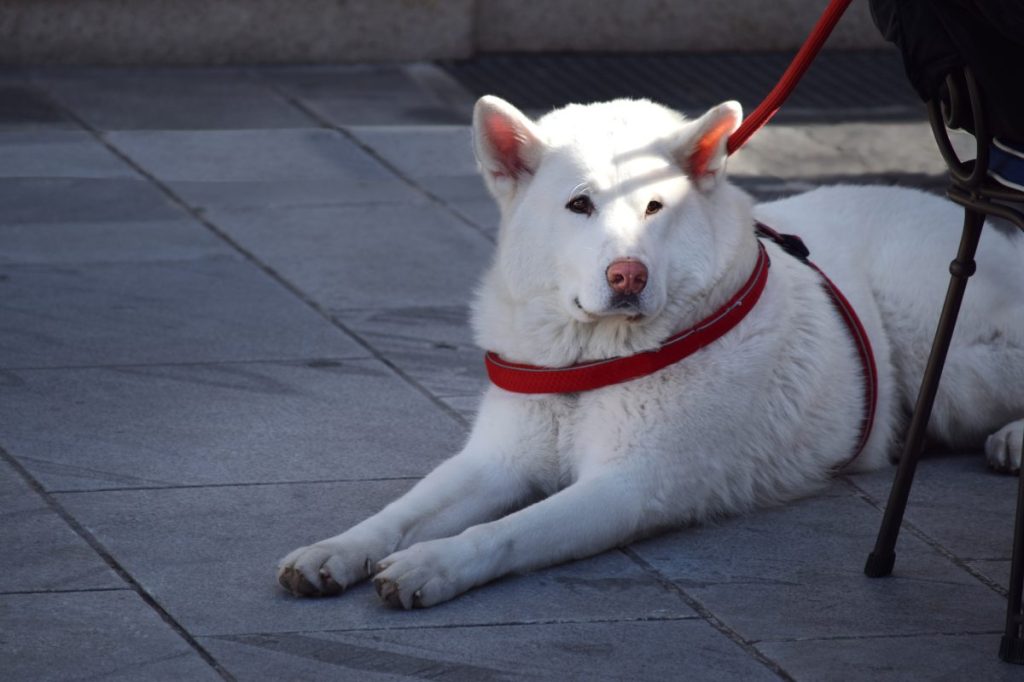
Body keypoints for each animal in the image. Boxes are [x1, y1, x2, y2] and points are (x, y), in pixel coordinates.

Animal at [278, 94, 1024, 606]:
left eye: (655, 208)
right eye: (579, 205)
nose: (627, 277)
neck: (591, 361)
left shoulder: (626, 488)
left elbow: (504, 532)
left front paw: (432, 564)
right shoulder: (496, 462)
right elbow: (400, 512)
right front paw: (337, 550)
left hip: (949, 374)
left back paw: (1011, 439)